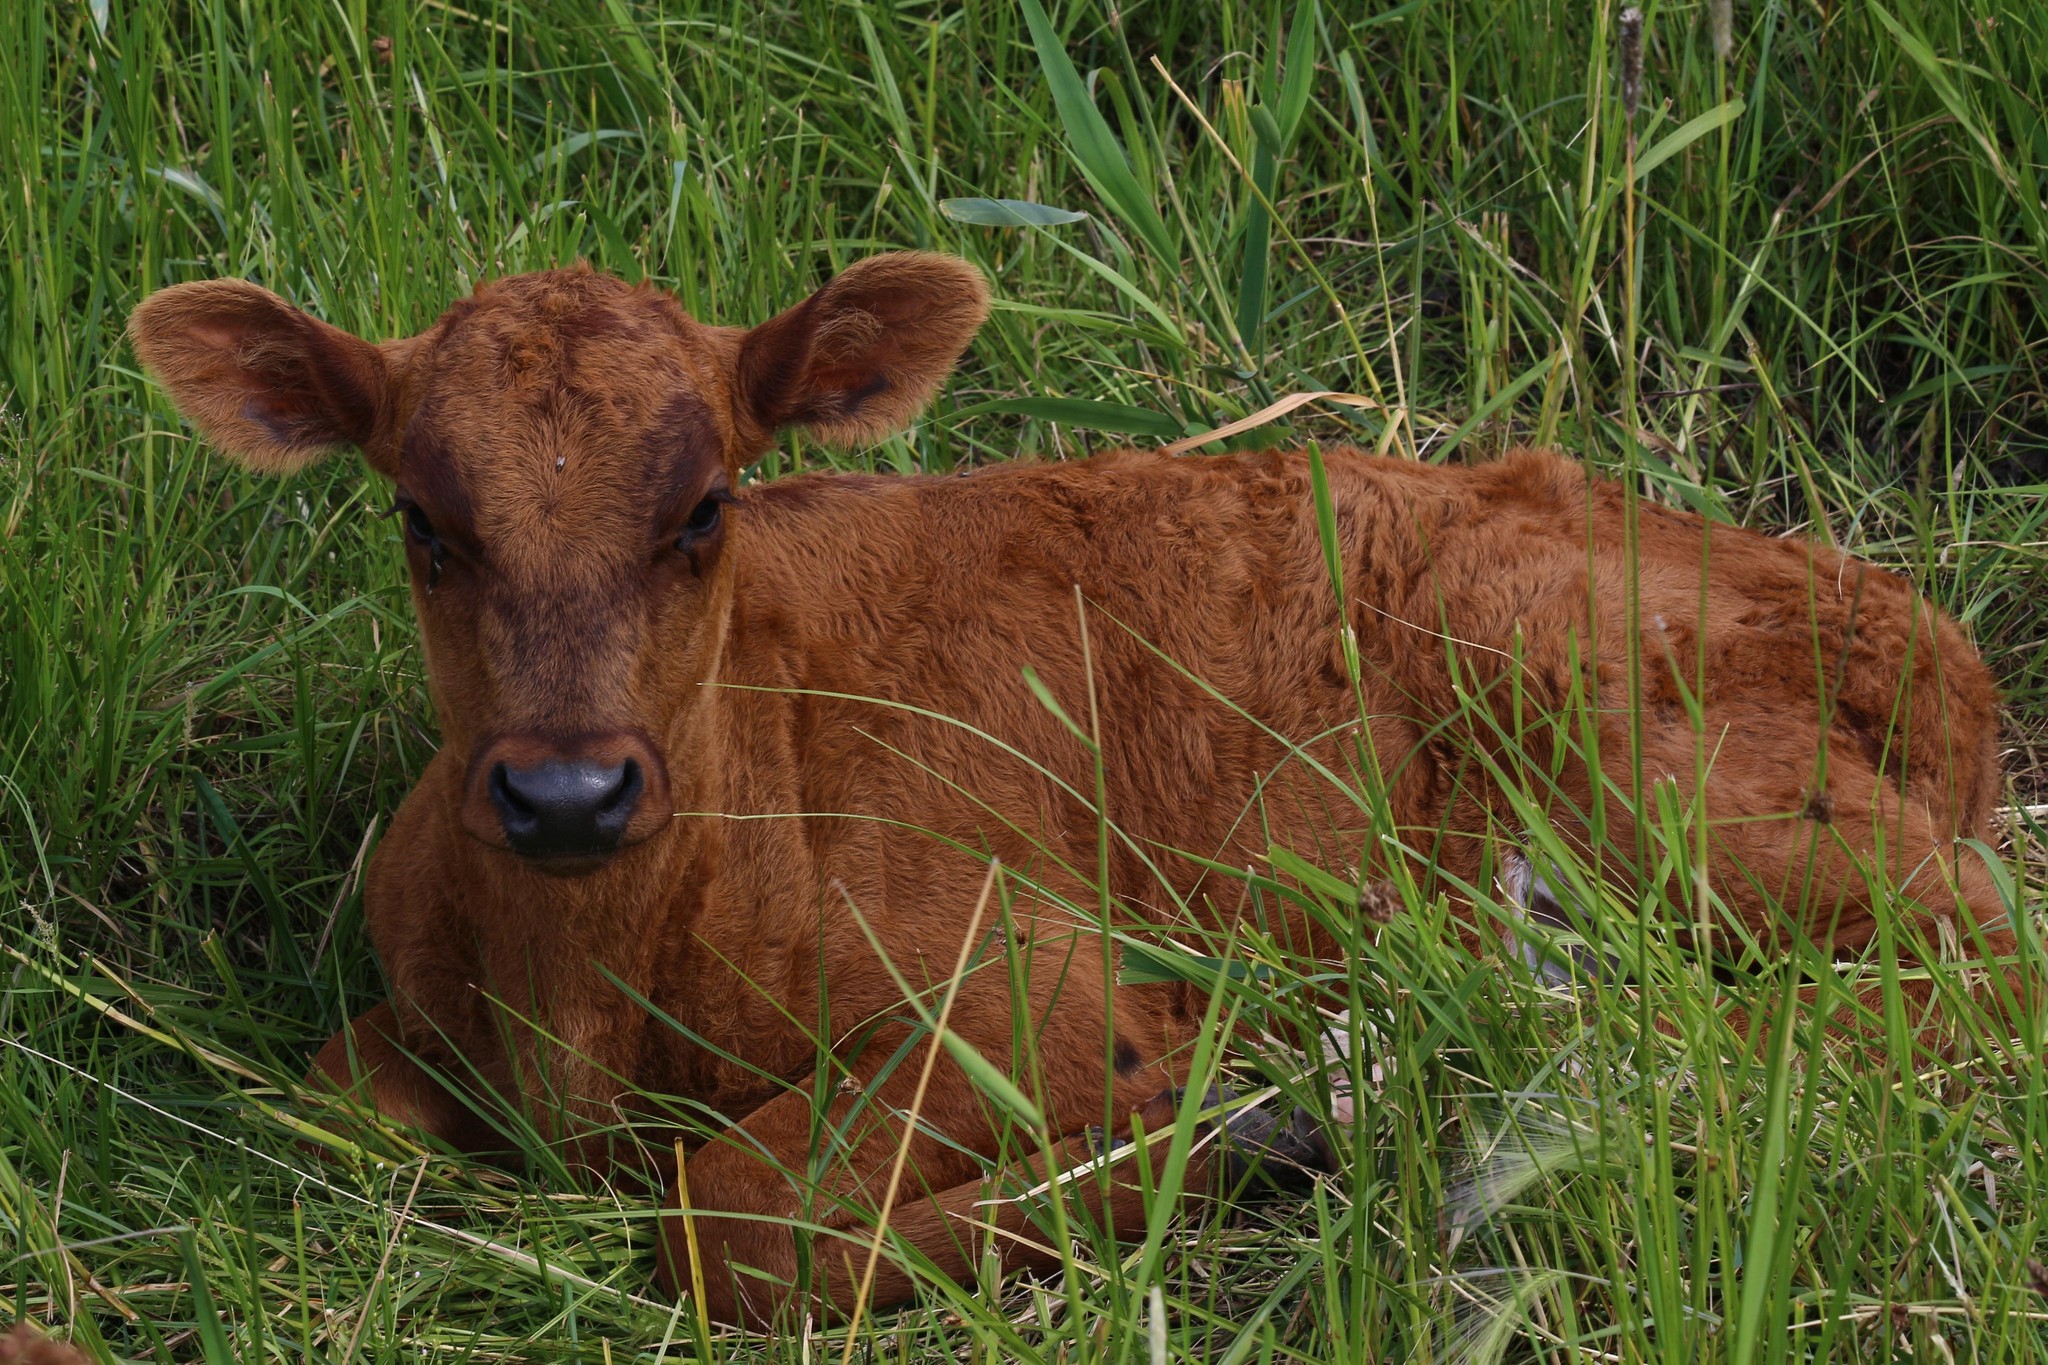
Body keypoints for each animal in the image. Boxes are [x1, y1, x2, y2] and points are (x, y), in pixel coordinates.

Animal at [136, 250, 2023, 1326]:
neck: (585, 989)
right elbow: (333, 1096)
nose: (568, 795)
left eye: (705, 509)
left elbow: (731, 1220)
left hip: (1651, 778)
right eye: (422, 520)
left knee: (1953, 988)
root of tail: (1902, 614)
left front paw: (1230, 1130)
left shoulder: (1029, 975)